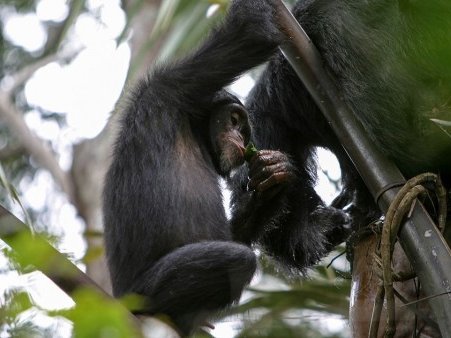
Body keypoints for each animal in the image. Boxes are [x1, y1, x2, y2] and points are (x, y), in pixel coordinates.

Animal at [104, 0, 352, 336]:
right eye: (234, 120)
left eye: (244, 130)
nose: (239, 137)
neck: (194, 128)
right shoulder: (172, 86)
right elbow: (247, 35)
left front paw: (271, 188)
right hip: (138, 294)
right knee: (238, 260)